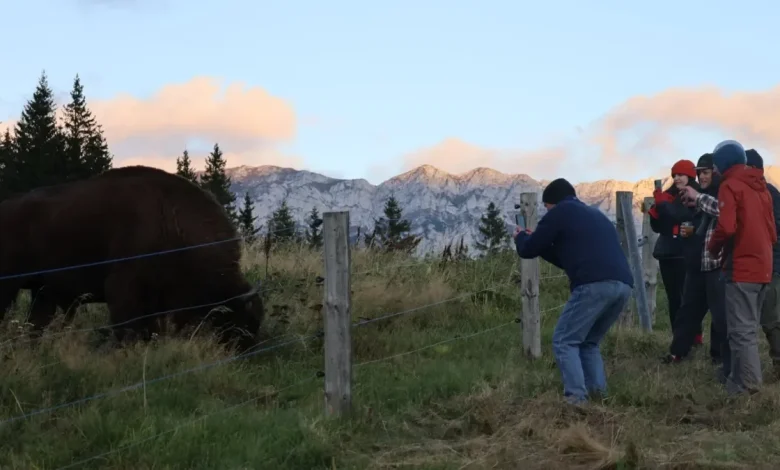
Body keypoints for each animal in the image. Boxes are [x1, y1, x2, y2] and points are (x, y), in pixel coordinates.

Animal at [0, 165, 264, 351]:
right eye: (242, 319)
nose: (246, 351)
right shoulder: (123, 290)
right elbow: (126, 329)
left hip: (43, 291)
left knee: (36, 324)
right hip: (10, 285)